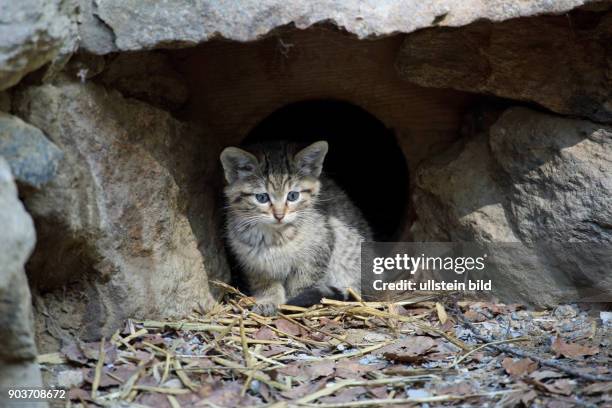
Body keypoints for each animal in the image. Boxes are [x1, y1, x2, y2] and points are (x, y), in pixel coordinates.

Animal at [221, 140, 372, 316]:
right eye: (262, 197)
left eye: (293, 196)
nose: (279, 215)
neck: (277, 236)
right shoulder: (254, 263)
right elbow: (265, 283)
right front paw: (268, 301)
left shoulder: (318, 250)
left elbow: (304, 281)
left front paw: (295, 302)